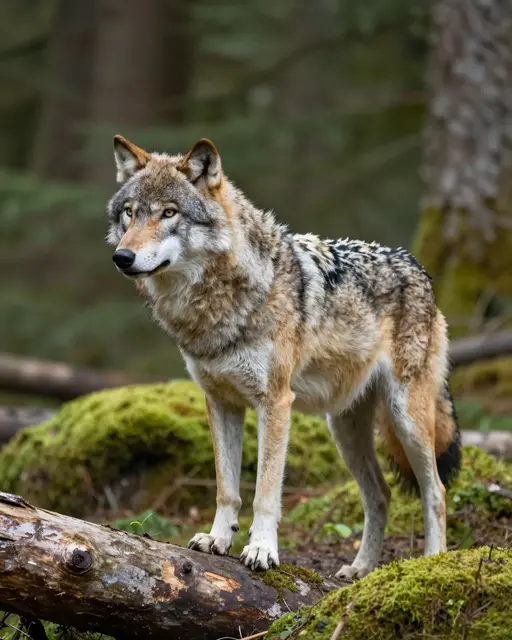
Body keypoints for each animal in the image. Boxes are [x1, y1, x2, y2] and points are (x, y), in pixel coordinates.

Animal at [106, 135, 461, 578]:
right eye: (130, 213)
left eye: (169, 213)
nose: (122, 257)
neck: (216, 304)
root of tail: (417, 267)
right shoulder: (220, 402)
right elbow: (226, 489)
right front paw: (218, 540)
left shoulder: (274, 402)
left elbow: (264, 492)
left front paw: (261, 550)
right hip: (344, 431)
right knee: (380, 495)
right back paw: (359, 570)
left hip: (406, 418)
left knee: (436, 491)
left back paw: (432, 563)